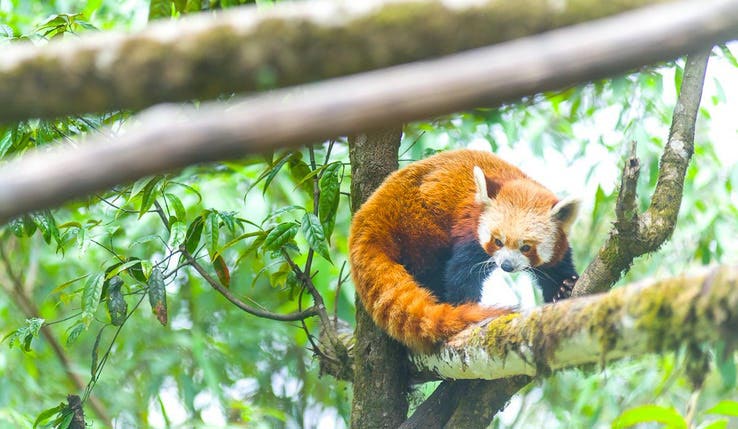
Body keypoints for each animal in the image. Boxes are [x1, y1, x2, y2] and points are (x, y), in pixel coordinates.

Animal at [348, 149, 576, 352]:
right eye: (498, 241)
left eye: (526, 247)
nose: (507, 266)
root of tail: (370, 217)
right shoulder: (470, 230)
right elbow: (462, 275)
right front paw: (465, 308)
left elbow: (555, 267)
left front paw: (563, 288)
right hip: (419, 226)